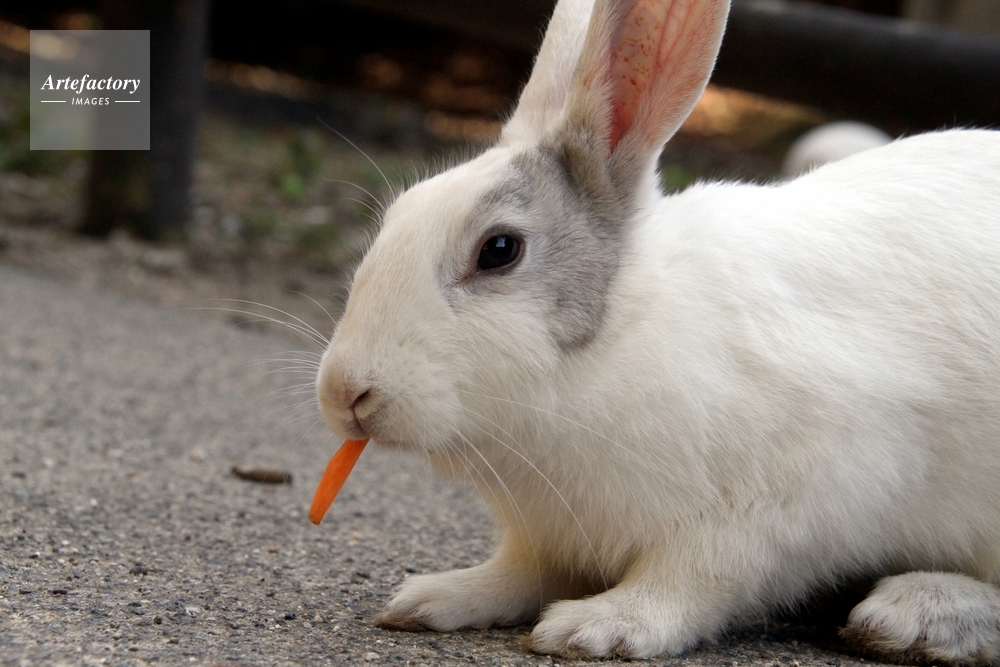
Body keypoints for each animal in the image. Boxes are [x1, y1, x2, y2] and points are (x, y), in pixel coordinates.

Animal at [315, 0, 1000, 661]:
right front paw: (434, 597)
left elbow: (697, 578)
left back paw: (917, 616)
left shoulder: (780, 503)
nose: (345, 393)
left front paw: (599, 628)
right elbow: (518, 574)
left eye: (499, 250)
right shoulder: (547, 536)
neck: (613, 345)